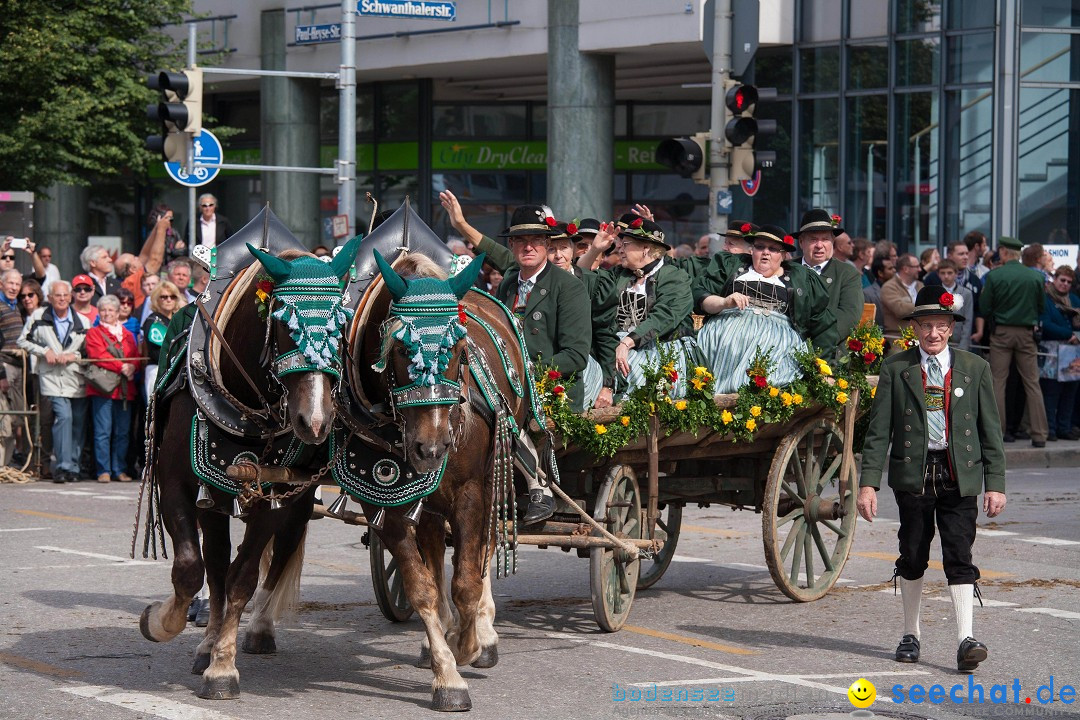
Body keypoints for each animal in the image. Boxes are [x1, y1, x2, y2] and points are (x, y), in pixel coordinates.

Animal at [137, 241, 358, 699]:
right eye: (285, 323)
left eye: (340, 327)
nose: (315, 421)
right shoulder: (177, 485)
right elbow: (192, 569)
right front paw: (163, 622)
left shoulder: (274, 496)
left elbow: (243, 577)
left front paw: (223, 668)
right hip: (213, 499)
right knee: (216, 562)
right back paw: (207, 638)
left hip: (295, 501)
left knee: (280, 552)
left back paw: (258, 628)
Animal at [349, 250, 531, 712]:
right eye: (399, 349)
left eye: (459, 350)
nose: (431, 448)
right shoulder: (384, 502)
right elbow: (422, 586)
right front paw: (446, 671)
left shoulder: (472, 491)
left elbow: (467, 579)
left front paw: (470, 645)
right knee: (433, 545)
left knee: (483, 549)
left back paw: (483, 631)